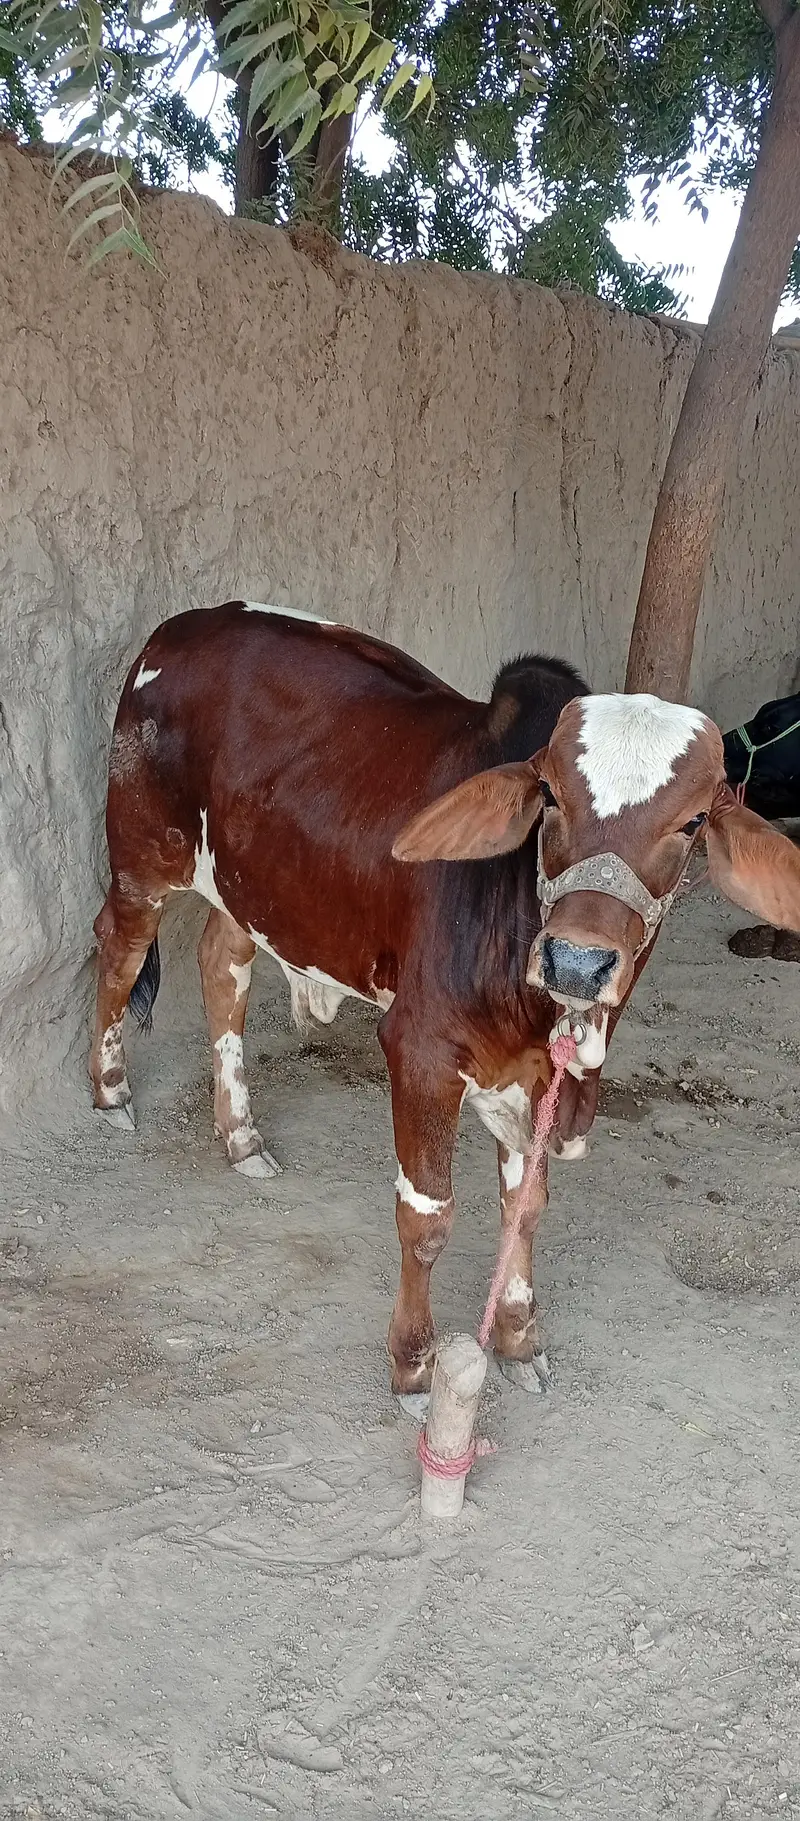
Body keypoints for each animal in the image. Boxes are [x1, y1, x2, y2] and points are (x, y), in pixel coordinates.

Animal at [91, 603, 800, 1412]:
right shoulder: (421, 1051)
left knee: (222, 967)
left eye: (691, 823)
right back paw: (110, 1091)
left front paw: (520, 1338)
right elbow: (426, 1215)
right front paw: (414, 1365)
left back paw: (241, 1135)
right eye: (551, 797)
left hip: (250, 883)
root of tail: (184, 624)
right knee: (118, 945)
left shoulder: (535, 1077)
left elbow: (526, 1204)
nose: (577, 961)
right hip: (144, 855)